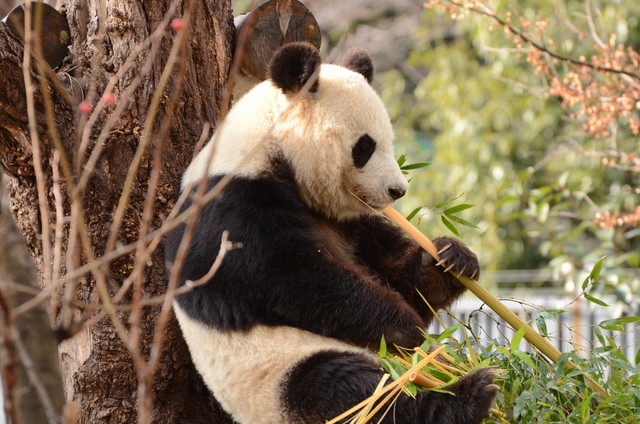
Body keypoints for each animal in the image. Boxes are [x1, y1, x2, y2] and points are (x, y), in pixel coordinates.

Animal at [164, 42, 496, 424]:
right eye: (365, 147)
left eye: (389, 141)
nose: (397, 191)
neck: (267, 145)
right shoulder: (230, 209)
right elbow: (297, 281)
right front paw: (402, 325)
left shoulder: (350, 223)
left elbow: (397, 274)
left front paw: (451, 259)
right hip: (277, 372)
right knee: (349, 390)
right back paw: (465, 397)